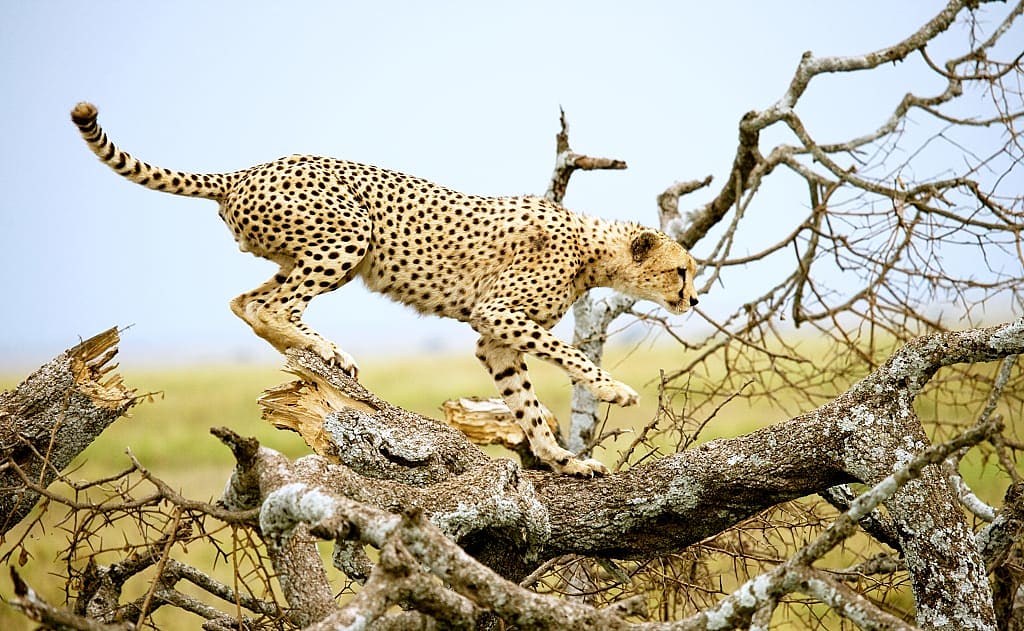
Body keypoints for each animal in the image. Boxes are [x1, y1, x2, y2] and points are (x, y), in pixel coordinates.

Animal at [71, 102, 700, 477]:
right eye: (681, 271)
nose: (695, 299)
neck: (594, 249)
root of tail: (248, 170)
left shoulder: (493, 336)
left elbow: (524, 401)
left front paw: (559, 459)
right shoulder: (499, 313)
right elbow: (568, 356)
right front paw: (614, 390)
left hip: (299, 250)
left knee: (245, 301)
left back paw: (311, 349)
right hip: (349, 235)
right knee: (274, 303)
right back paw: (325, 349)